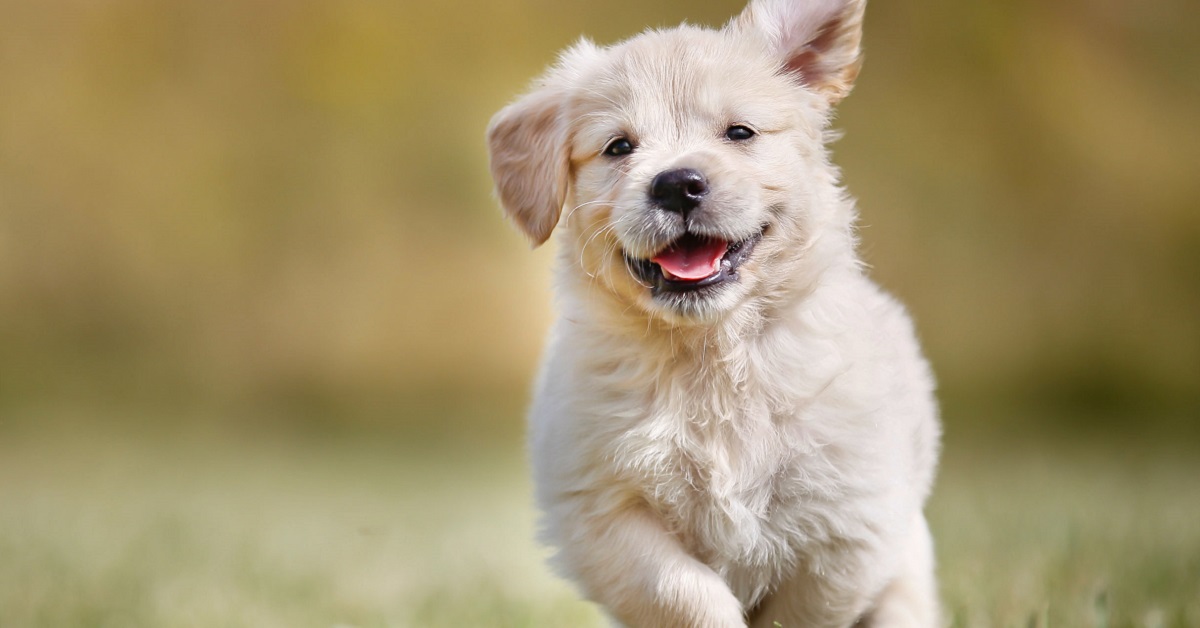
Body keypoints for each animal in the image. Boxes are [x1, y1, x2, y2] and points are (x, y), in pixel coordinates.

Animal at [484, 0, 936, 624]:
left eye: (739, 132)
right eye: (619, 147)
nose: (677, 184)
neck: (711, 354)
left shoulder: (846, 527)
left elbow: (797, 613)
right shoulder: (601, 510)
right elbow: (683, 591)